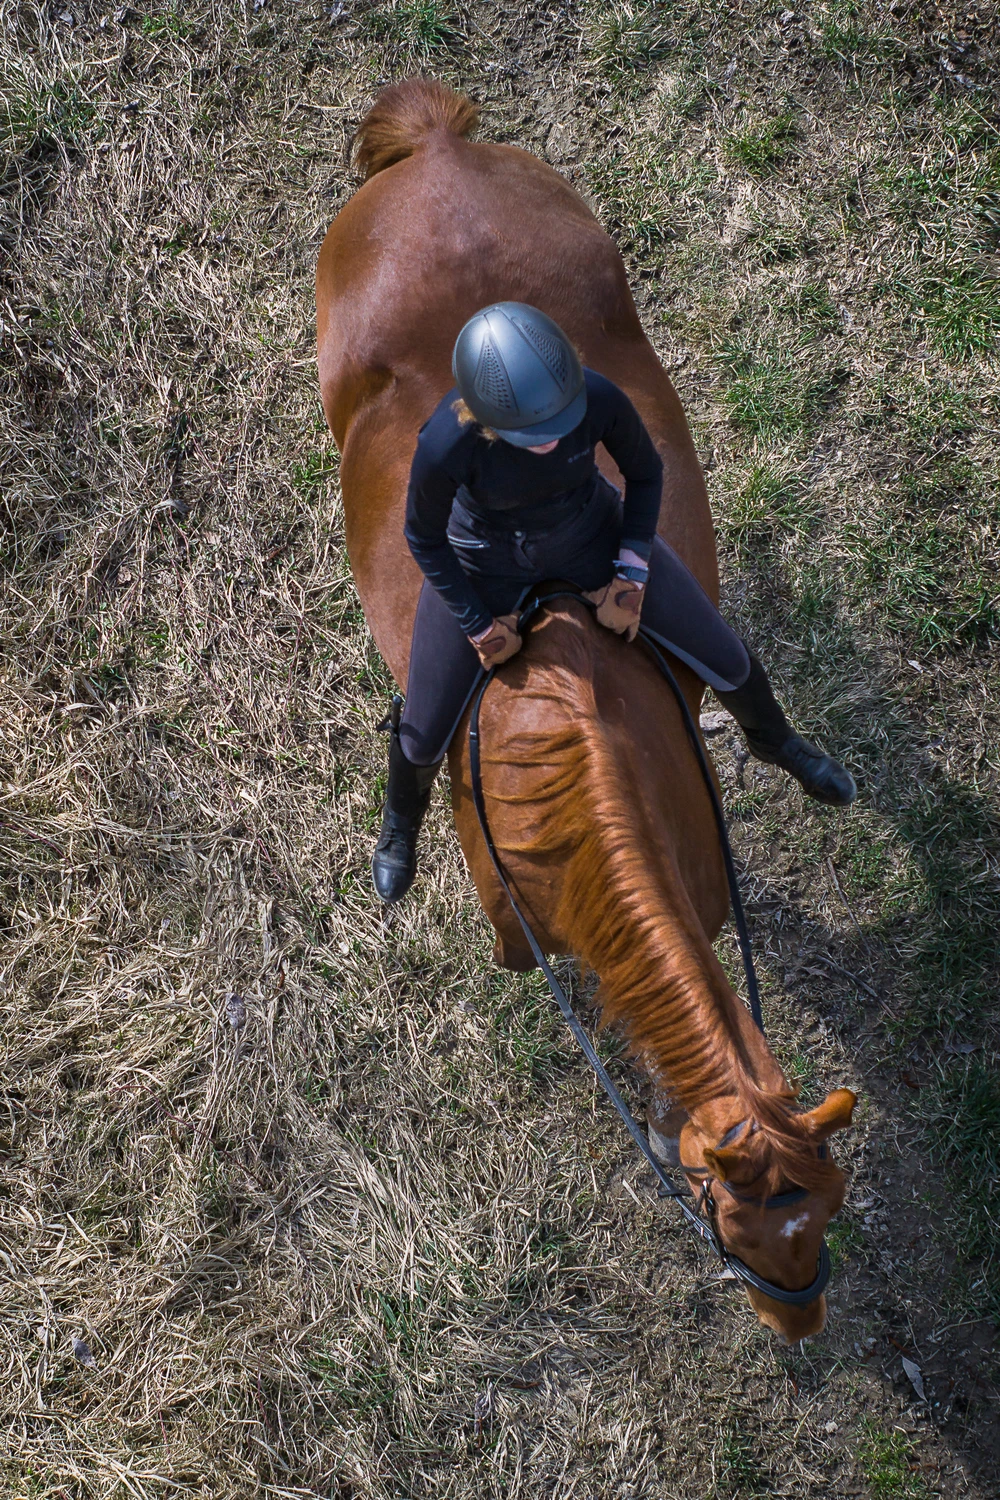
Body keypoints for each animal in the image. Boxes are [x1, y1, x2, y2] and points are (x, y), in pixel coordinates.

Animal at [316, 76, 857, 1344]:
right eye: (732, 1224)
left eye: (827, 1215)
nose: (801, 1325)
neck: (573, 779)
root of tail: (437, 153)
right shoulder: (519, 931)